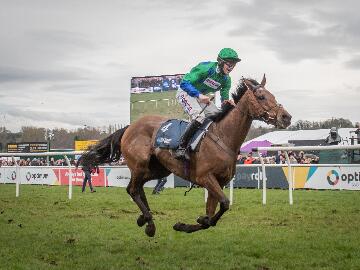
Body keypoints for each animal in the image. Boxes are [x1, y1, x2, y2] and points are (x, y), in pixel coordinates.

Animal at [80, 74, 292, 236]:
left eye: (273, 95)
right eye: (261, 96)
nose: (286, 117)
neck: (223, 137)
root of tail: (130, 126)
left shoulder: (219, 182)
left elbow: (211, 217)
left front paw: (186, 224)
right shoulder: (205, 177)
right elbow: (224, 203)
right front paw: (194, 221)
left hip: (158, 169)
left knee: (137, 189)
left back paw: (145, 220)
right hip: (140, 164)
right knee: (132, 189)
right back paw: (148, 221)